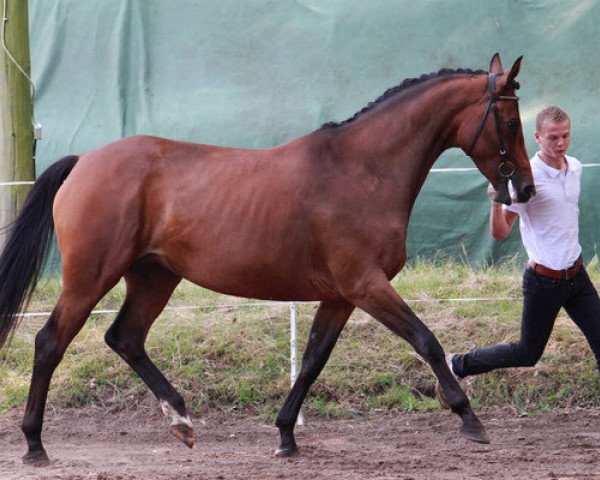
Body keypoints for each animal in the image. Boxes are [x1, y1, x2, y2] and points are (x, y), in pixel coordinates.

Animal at [0, 53, 536, 464]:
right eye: (510, 122)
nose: (526, 189)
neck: (362, 171)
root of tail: (84, 162)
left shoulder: (341, 296)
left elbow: (314, 360)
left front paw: (285, 436)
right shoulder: (367, 285)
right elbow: (426, 340)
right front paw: (468, 417)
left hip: (154, 277)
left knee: (125, 337)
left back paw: (181, 419)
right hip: (90, 277)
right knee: (50, 342)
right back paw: (34, 445)